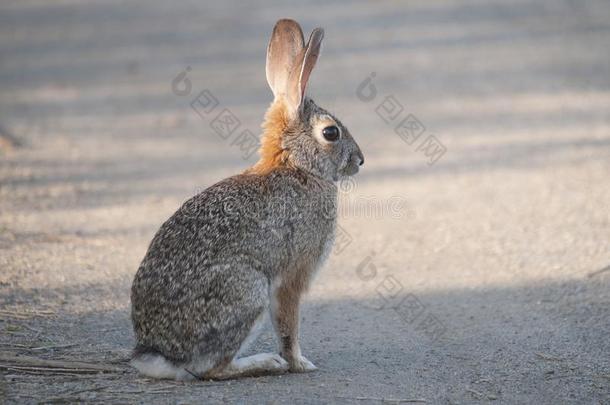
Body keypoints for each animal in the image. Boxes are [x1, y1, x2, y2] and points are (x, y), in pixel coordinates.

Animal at [129, 18, 360, 378]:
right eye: (331, 132)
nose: (360, 160)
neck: (297, 166)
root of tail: (159, 354)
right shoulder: (292, 276)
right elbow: (288, 327)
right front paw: (300, 364)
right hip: (248, 290)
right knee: (214, 368)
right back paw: (266, 362)